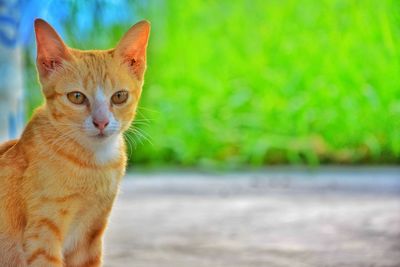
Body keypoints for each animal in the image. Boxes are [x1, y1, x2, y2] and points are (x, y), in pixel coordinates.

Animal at [0, 17, 150, 266]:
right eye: (77, 97)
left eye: (119, 96)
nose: (101, 122)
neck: (95, 165)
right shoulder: (42, 236)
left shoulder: (89, 236)